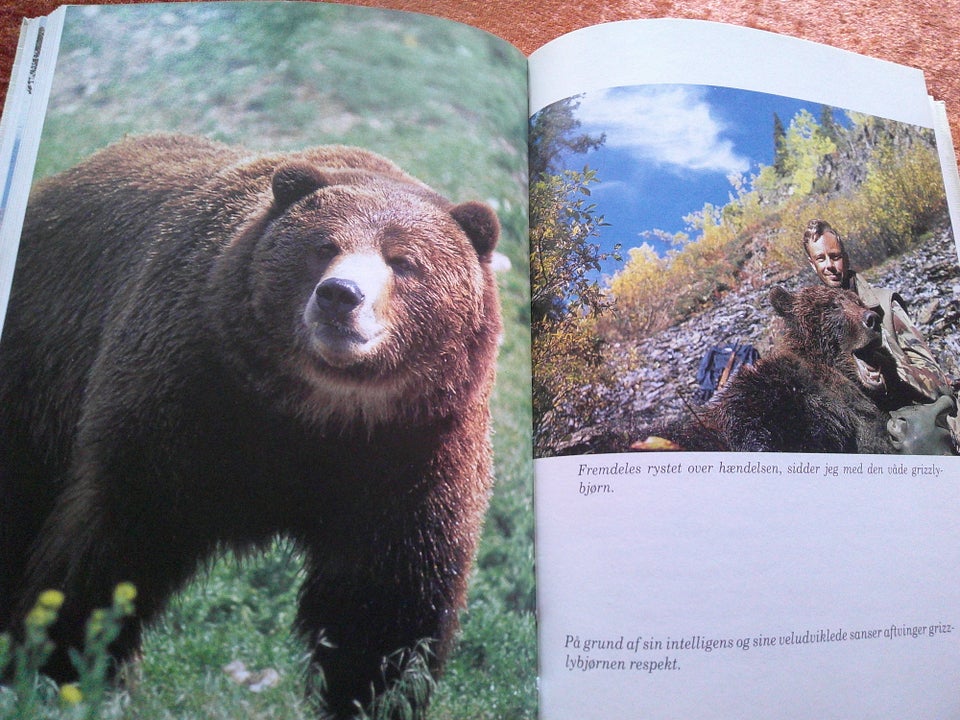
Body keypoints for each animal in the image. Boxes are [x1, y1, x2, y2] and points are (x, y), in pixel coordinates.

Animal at [0, 134, 506, 716]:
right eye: (324, 246)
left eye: (403, 260)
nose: (340, 295)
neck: (317, 414)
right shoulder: (188, 397)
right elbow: (116, 536)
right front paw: (62, 660)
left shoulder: (415, 450)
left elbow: (386, 599)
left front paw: (372, 696)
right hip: (42, 362)